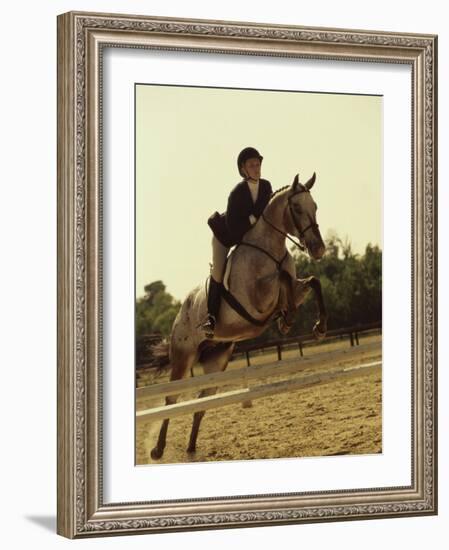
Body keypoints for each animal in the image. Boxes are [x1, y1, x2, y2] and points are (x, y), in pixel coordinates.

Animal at [149, 174, 328, 462]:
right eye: (297, 208)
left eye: (315, 207)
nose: (318, 249)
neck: (270, 250)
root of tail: (179, 316)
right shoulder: (255, 301)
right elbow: (282, 279)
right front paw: (286, 320)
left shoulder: (294, 289)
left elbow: (312, 281)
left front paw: (318, 327)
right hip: (183, 356)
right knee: (171, 400)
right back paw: (158, 450)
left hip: (217, 359)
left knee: (203, 400)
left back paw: (191, 448)